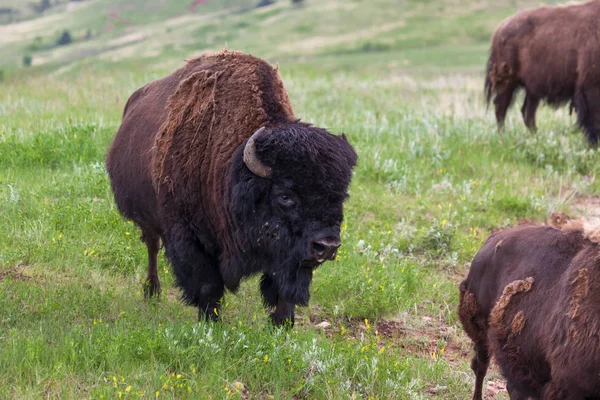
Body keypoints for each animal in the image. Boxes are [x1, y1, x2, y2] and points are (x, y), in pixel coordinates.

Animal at [105, 50, 356, 324]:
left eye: (340, 196)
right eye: (285, 196)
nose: (327, 246)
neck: (232, 170)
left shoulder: (288, 256)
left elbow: (285, 287)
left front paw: (282, 322)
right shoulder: (188, 237)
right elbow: (207, 285)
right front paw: (210, 322)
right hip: (149, 218)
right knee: (152, 246)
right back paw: (152, 293)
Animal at [486, 0, 600, 145]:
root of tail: (500, 28)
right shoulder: (591, 84)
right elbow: (594, 118)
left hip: (533, 90)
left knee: (527, 113)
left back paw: (536, 139)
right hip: (507, 82)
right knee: (501, 107)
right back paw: (503, 138)